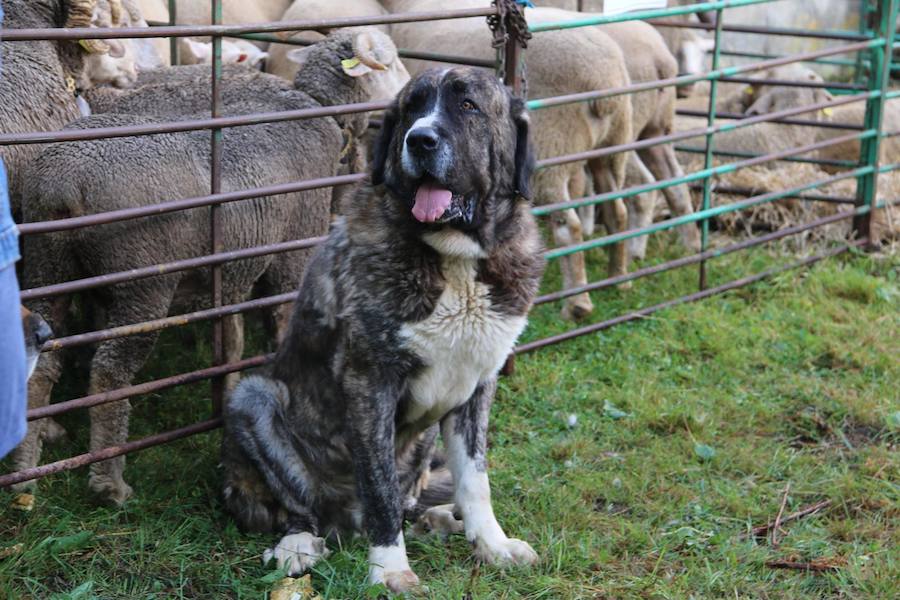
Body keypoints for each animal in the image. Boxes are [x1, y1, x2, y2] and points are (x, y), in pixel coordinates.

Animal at [15, 29, 410, 506]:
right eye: (389, 63)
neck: (320, 108)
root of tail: (64, 184)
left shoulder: (234, 268)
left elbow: (233, 338)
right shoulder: (293, 251)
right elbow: (282, 324)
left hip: (48, 265)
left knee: (42, 364)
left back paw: (27, 476)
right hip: (142, 284)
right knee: (110, 374)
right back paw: (109, 482)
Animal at [221, 65, 544, 592]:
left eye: (468, 106)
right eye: (412, 107)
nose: (421, 140)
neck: (455, 259)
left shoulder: (477, 386)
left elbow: (476, 480)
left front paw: (491, 545)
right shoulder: (370, 382)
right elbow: (379, 487)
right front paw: (391, 569)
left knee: (418, 497)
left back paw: (438, 520)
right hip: (252, 398)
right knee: (298, 508)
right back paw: (298, 546)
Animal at [384, 0, 632, 322]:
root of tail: (605, 81)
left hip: (554, 147)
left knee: (570, 225)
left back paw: (577, 303)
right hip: (612, 146)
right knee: (618, 210)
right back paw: (619, 278)